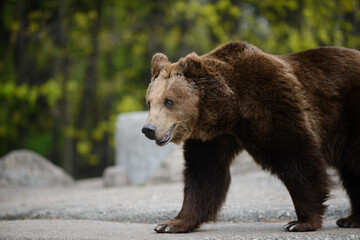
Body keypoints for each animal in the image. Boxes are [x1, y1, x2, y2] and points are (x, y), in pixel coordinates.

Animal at [141, 41, 360, 232]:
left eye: (169, 101)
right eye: (149, 102)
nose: (148, 129)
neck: (230, 110)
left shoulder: (271, 105)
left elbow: (296, 158)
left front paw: (300, 222)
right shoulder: (212, 138)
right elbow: (204, 174)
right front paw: (172, 223)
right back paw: (351, 219)